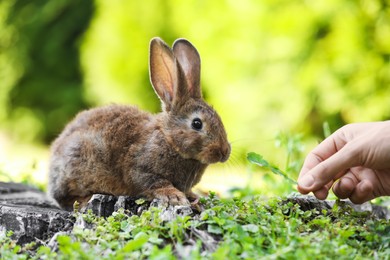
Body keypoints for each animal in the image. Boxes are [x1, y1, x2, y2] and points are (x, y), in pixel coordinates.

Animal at [48, 37, 232, 211]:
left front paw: (195, 198)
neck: (169, 140)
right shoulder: (140, 168)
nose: (224, 152)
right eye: (197, 123)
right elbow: (154, 183)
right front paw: (174, 196)